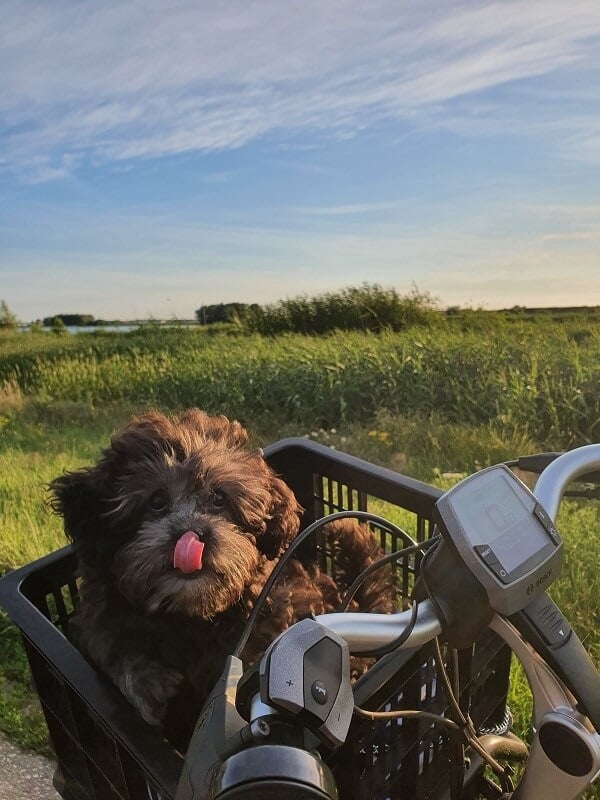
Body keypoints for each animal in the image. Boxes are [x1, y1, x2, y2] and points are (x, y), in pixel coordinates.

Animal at [49, 410, 392, 748]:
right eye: (156, 501)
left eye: (218, 499)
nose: (193, 535)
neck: (188, 615)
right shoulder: (98, 617)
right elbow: (109, 646)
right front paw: (149, 684)